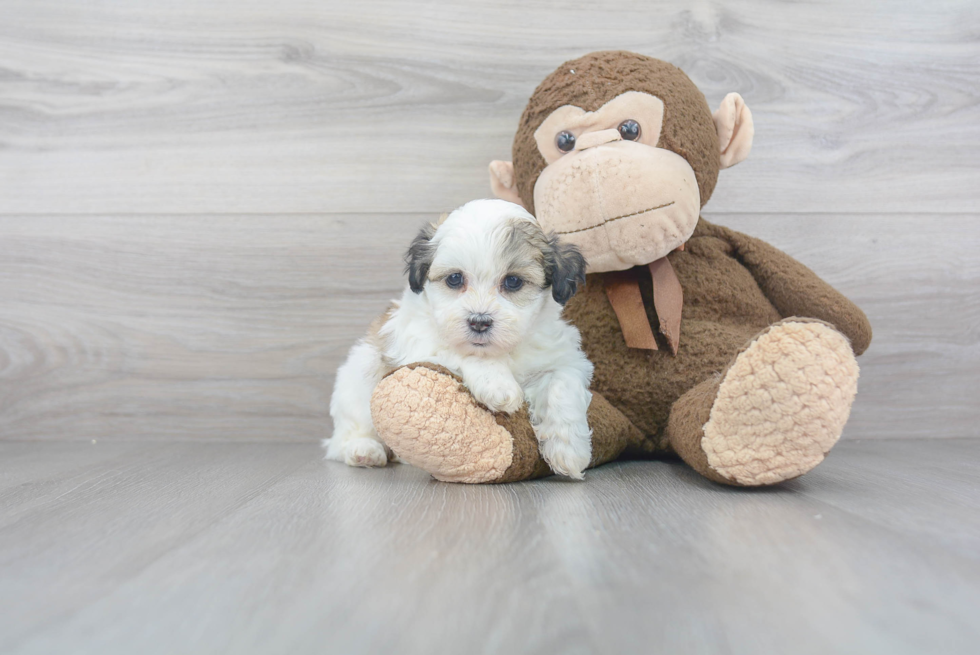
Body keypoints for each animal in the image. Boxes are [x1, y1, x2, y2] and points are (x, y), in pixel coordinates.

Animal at [326, 197, 592, 480]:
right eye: (455, 278)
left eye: (513, 281)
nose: (479, 321)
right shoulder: (416, 341)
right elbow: (459, 350)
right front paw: (497, 384)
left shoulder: (562, 356)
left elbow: (563, 386)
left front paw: (570, 451)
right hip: (357, 379)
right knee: (345, 435)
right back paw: (363, 449)